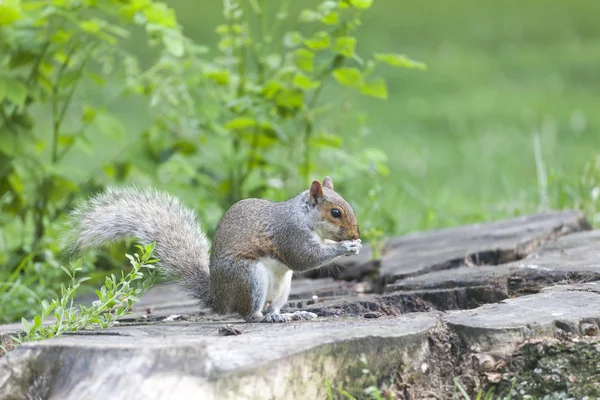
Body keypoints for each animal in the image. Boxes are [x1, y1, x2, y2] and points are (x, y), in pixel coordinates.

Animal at [68, 177, 364, 324]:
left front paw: (353, 245)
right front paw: (345, 246)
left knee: (272, 307)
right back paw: (264, 318)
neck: (303, 217)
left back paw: (289, 314)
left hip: (283, 285)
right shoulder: (288, 234)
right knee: (250, 315)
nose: (355, 234)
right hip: (249, 278)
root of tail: (221, 299)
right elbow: (304, 258)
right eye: (335, 213)